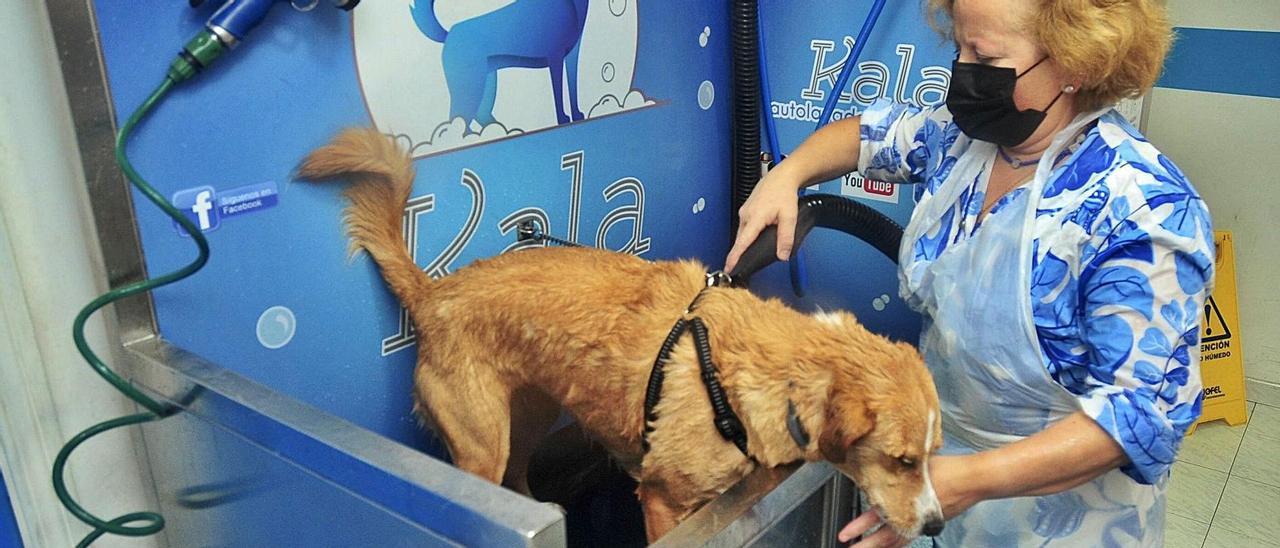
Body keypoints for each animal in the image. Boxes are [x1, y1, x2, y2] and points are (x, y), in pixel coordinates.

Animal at [294, 130, 947, 540]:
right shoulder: (662, 499)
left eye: (933, 455)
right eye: (901, 460)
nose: (938, 525)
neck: (757, 376)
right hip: (480, 446)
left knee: (520, 482)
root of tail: (432, 295)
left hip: (527, 418)